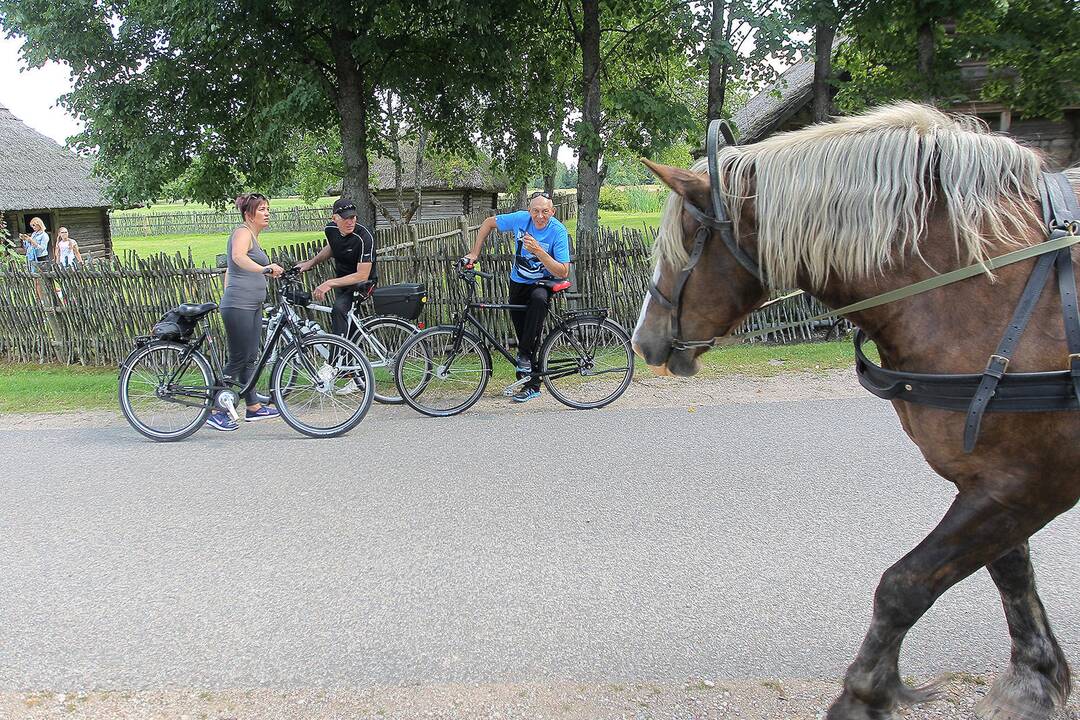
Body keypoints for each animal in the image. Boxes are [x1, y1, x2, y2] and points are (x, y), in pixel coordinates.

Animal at [630, 102, 1080, 720]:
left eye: (689, 237)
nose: (641, 340)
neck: (986, 283)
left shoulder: (1033, 480)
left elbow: (904, 585)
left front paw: (864, 693)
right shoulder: (996, 481)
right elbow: (1011, 572)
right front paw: (1034, 680)